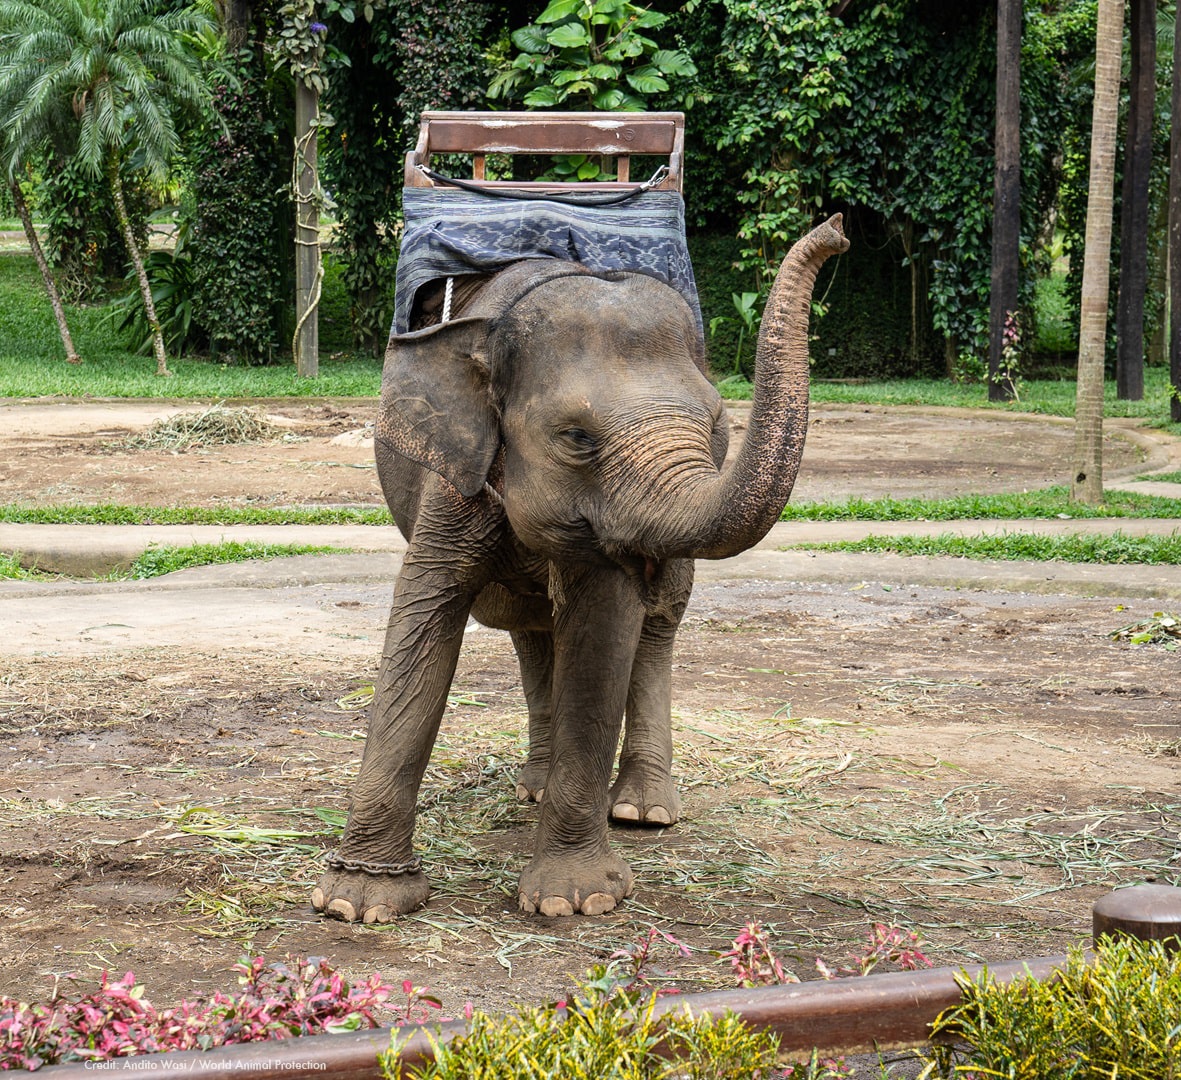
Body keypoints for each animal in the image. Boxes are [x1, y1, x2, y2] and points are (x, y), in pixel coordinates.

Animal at [311, 214, 849, 922]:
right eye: (575, 438)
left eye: (716, 425)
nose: (837, 231)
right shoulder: (453, 480)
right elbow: (422, 621)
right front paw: (357, 904)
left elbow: (601, 639)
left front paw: (573, 901)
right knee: (531, 632)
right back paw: (536, 786)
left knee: (657, 627)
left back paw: (643, 810)